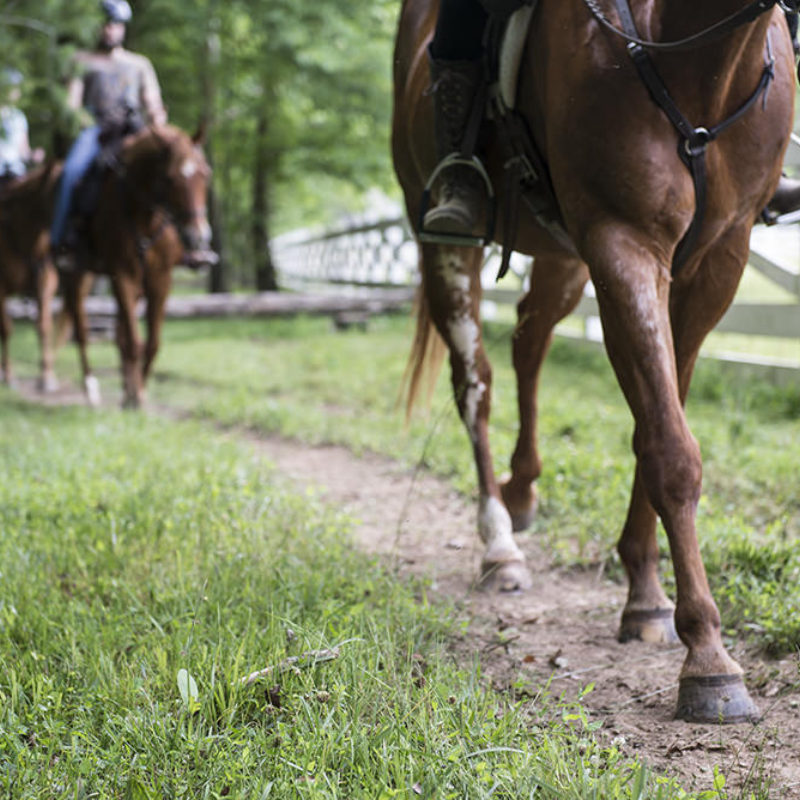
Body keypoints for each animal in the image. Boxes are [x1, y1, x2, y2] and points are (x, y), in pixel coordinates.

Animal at [392, 0, 795, 723]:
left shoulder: (717, 260)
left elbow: (660, 418)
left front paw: (645, 593)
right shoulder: (622, 242)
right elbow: (670, 447)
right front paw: (709, 658)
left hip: (561, 258)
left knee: (528, 342)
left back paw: (523, 490)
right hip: (444, 242)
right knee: (475, 384)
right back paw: (499, 544)